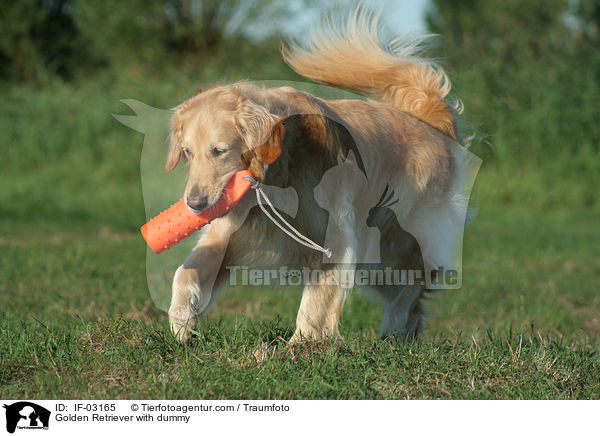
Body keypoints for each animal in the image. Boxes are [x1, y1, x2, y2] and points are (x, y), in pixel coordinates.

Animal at [165, 10, 474, 342]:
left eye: (219, 151)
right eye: (187, 153)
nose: (194, 205)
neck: (282, 168)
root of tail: (427, 119)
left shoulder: (336, 234)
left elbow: (317, 299)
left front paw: (303, 342)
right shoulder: (232, 232)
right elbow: (185, 271)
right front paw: (182, 320)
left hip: (394, 238)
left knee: (418, 276)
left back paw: (394, 323)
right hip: (375, 259)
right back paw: (404, 333)